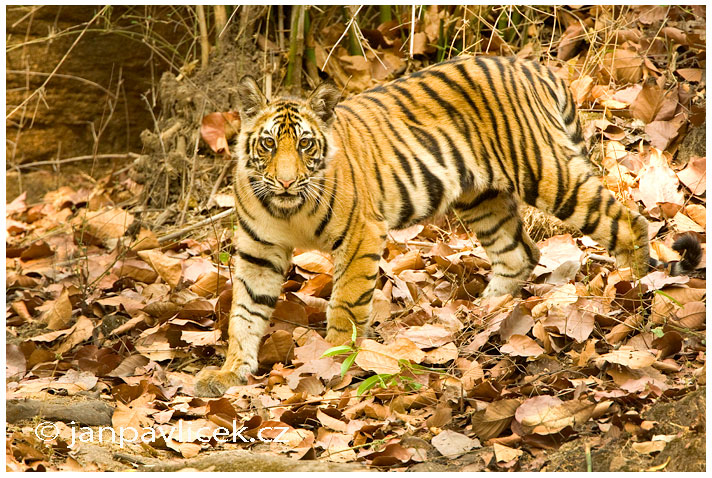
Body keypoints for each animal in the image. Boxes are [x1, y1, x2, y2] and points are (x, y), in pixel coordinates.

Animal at [193, 55, 700, 396]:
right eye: (267, 144)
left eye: (304, 144)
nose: (284, 180)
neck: (287, 208)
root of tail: (532, 66)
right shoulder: (258, 252)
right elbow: (244, 313)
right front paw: (229, 372)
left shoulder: (360, 236)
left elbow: (345, 306)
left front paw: (332, 363)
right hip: (482, 197)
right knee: (520, 254)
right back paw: (484, 315)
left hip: (547, 173)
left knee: (628, 221)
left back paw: (634, 296)